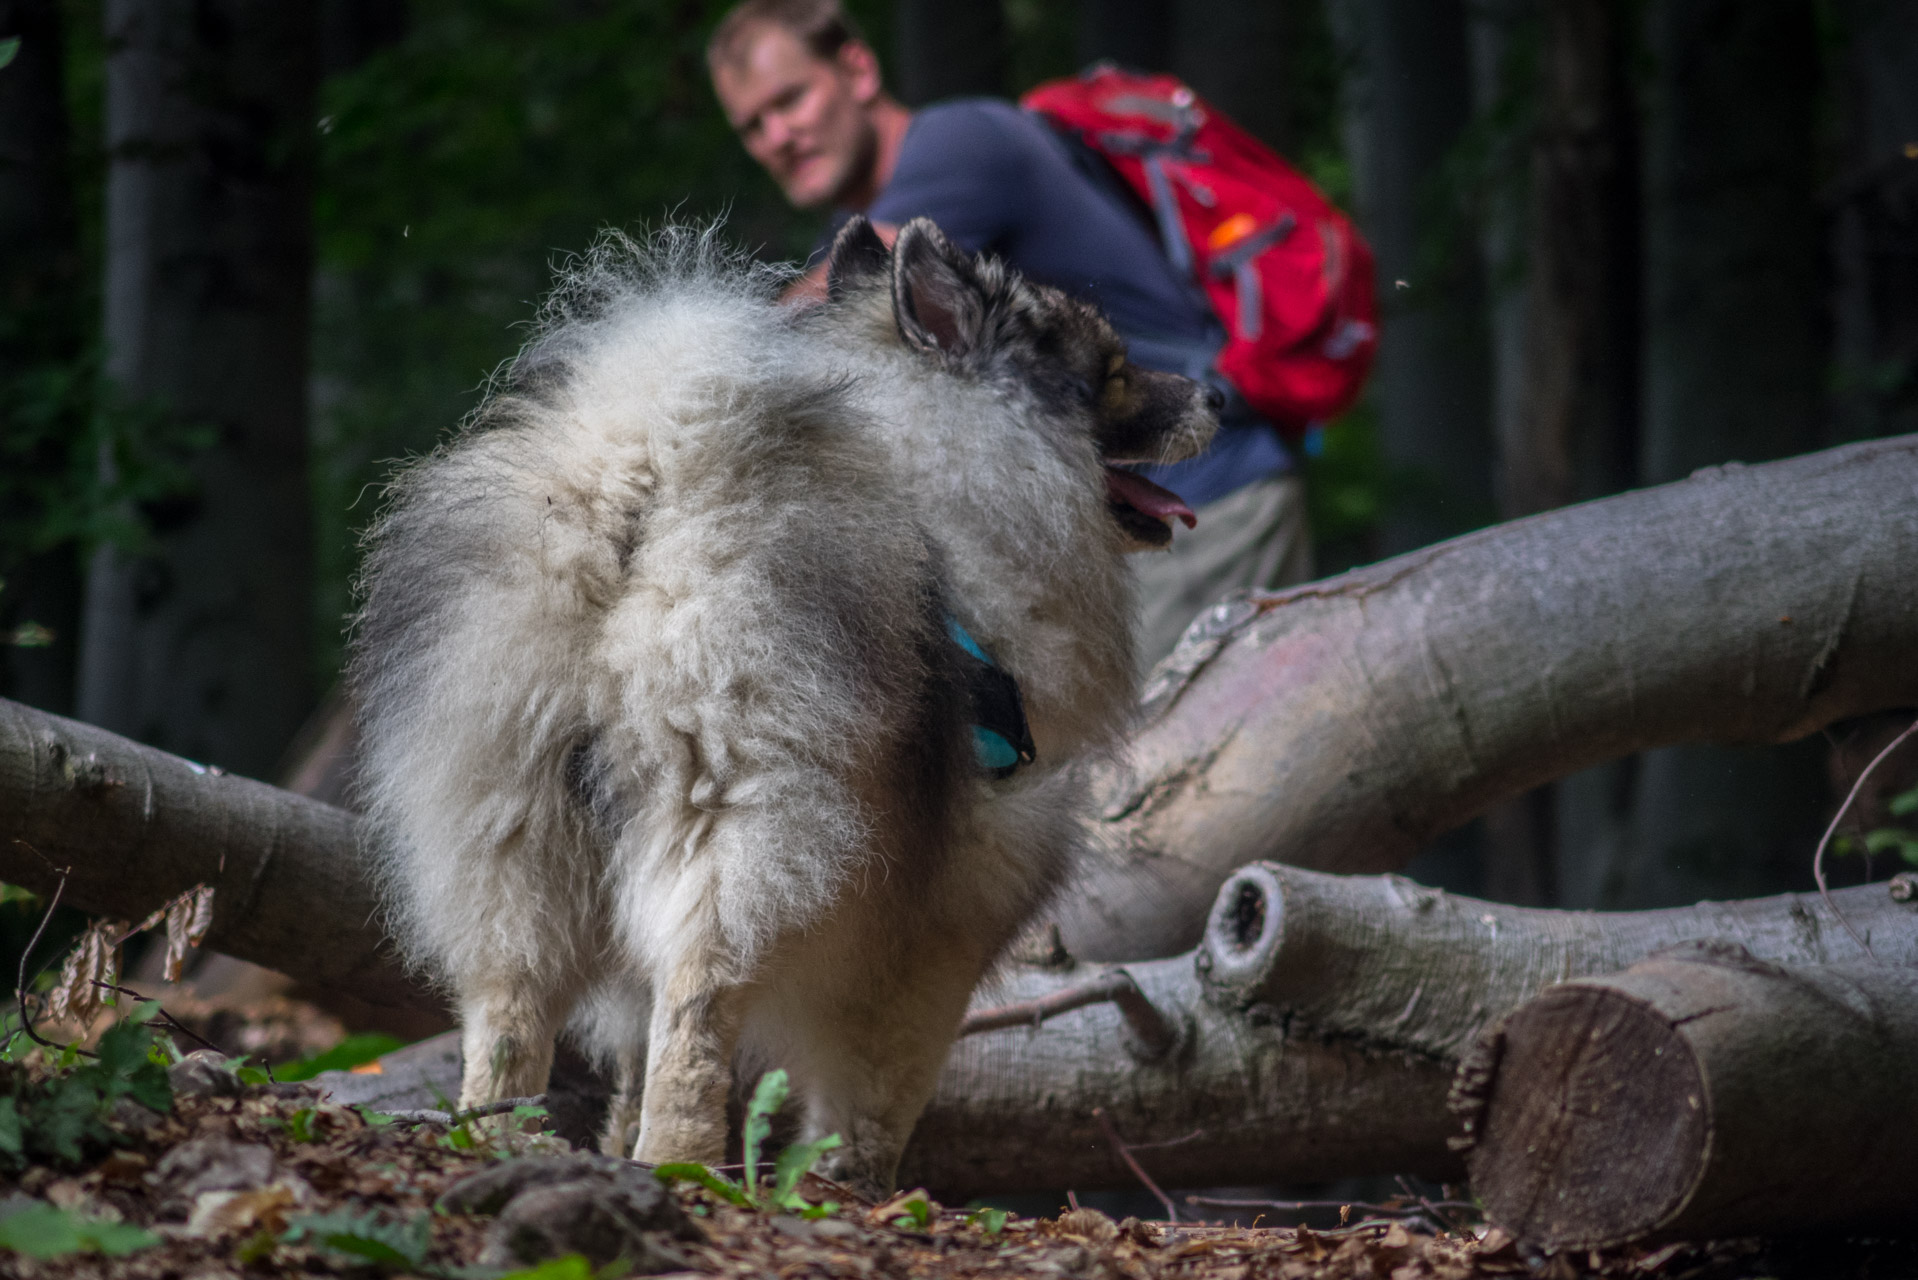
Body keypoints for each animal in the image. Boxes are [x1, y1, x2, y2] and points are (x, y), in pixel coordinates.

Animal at [354, 213, 1219, 1189]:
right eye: (1112, 372)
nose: (1218, 394)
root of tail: (645, 481)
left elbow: (630, 1061)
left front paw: (615, 1147)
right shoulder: (941, 929)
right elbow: (879, 1097)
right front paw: (853, 1190)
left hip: (509, 825)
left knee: (512, 1008)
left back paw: (498, 1140)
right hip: (736, 821)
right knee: (699, 1009)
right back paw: (683, 1164)